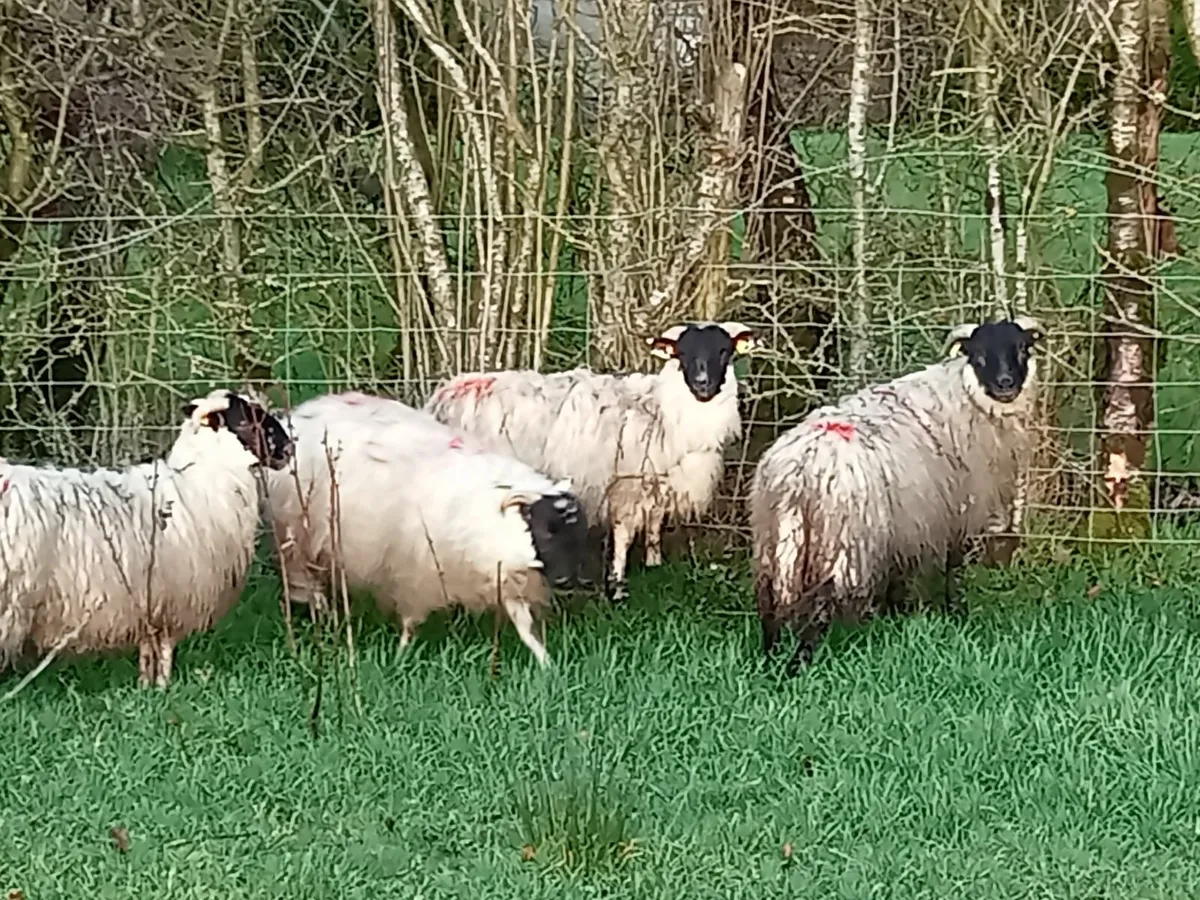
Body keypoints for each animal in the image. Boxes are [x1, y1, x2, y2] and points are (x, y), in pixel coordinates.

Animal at [0, 389, 294, 688]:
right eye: (246, 422)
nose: (288, 449)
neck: (197, 482)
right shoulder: (173, 601)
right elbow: (163, 649)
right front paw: (163, 686)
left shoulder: (150, 604)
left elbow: (147, 649)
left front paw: (145, 687)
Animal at [264, 391, 589, 666]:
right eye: (546, 529)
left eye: (578, 534)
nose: (566, 581)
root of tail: (303, 412)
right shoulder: (416, 572)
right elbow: (410, 622)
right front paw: (399, 658)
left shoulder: (505, 576)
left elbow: (525, 627)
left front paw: (546, 663)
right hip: (297, 536)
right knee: (306, 581)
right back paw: (324, 616)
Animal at [424, 320, 756, 601]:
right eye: (682, 353)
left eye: (723, 351)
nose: (702, 384)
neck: (663, 412)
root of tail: (444, 397)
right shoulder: (626, 488)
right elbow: (623, 536)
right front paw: (618, 587)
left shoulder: (653, 485)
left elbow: (653, 526)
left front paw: (654, 564)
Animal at [749, 316, 1044, 675]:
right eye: (979, 355)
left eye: (1022, 348)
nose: (1005, 384)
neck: (962, 395)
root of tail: (799, 470)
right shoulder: (955, 511)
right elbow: (954, 568)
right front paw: (956, 614)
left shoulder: (905, 522)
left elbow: (898, 575)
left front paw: (895, 617)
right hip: (842, 542)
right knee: (819, 606)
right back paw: (798, 667)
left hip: (773, 538)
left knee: (768, 602)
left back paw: (769, 660)